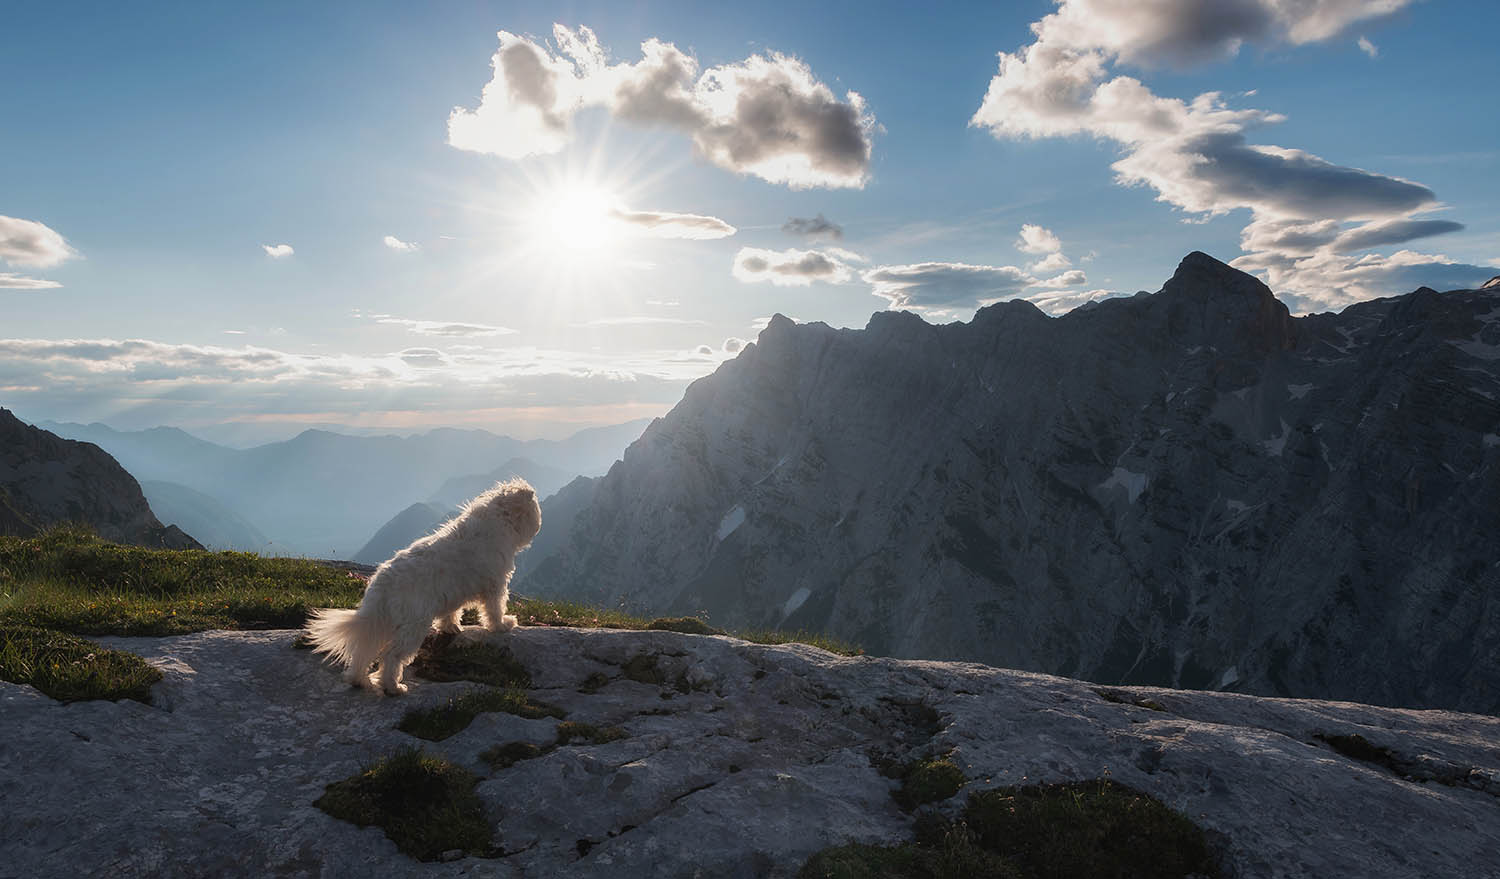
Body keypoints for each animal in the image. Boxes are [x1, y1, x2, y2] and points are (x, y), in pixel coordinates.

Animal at [303, 480, 540, 690]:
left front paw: (451, 627)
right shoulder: (495, 584)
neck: (498, 519)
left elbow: (452, 612)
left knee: (364, 651)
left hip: (381, 621)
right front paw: (502, 625)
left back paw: (359, 680)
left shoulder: (454, 592)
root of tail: (383, 582)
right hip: (413, 624)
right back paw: (393, 686)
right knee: (392, 656)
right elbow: (494, 608)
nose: (539, 526)